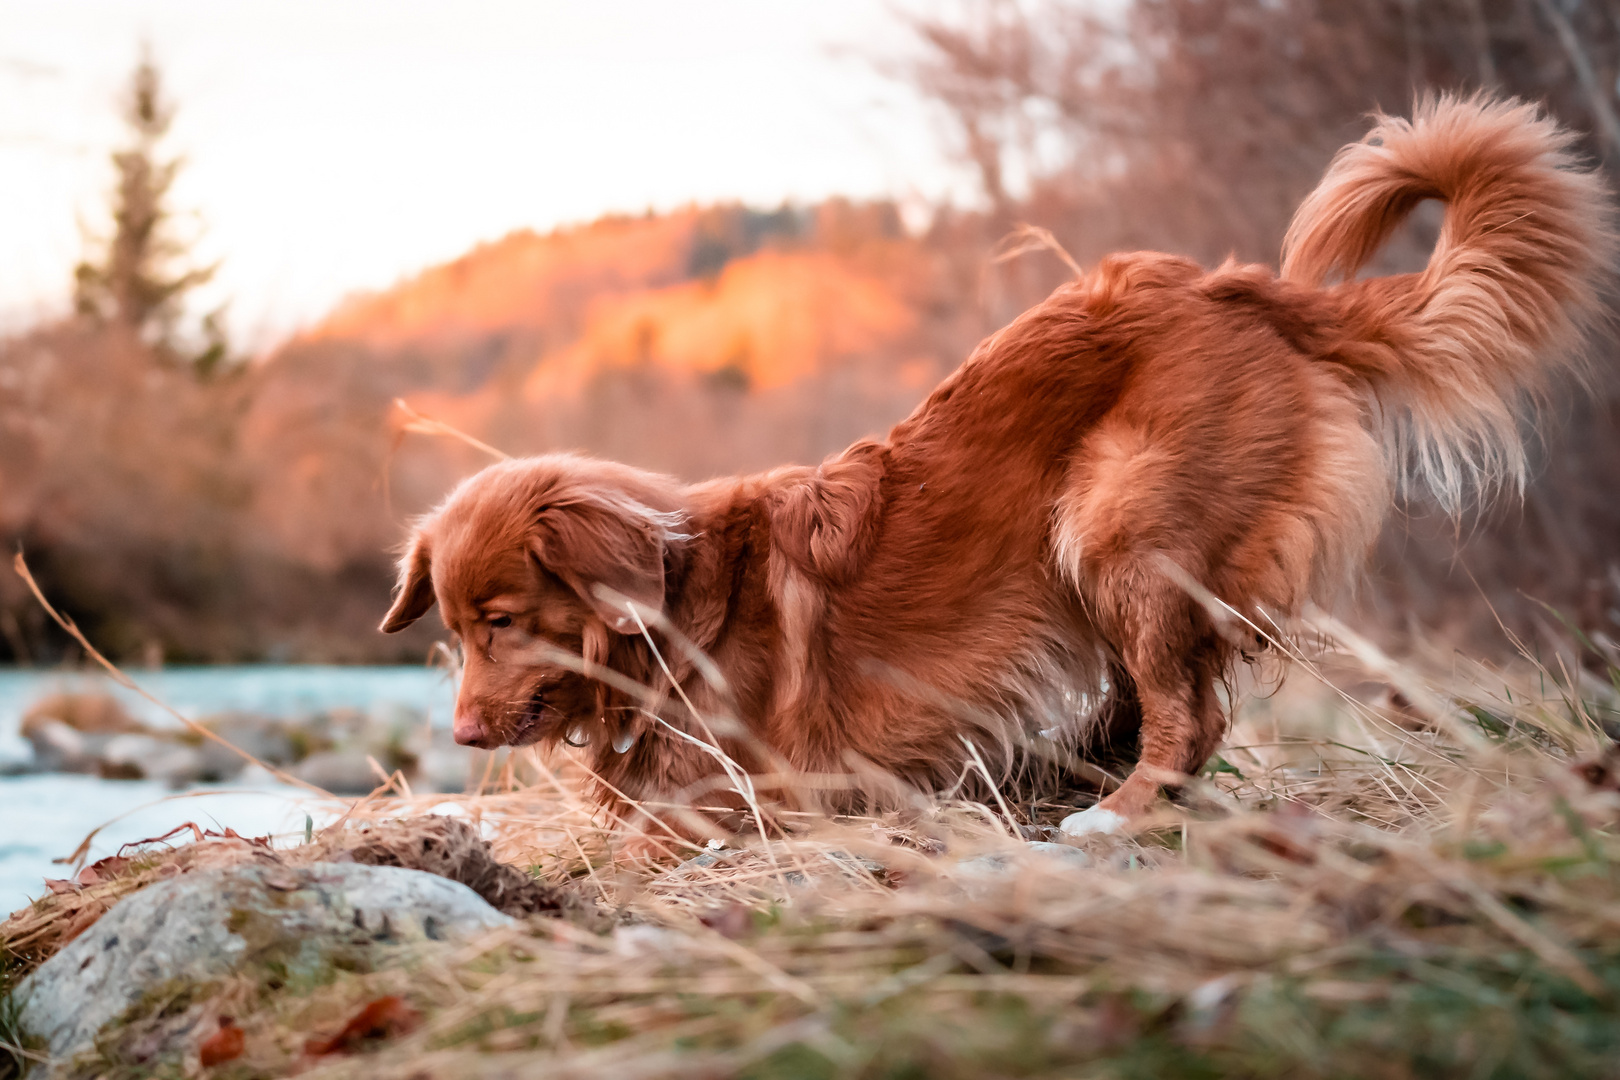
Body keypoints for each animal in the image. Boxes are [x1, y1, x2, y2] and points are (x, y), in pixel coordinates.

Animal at [375, 99, 1607, 835]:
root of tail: (1242, 288)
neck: (678, 615)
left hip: (1114, 524)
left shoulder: (751, 797)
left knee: (1187, 714)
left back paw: (1117, 808)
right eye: (451, 631)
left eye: (500, 622)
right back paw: (1073, 768)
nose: (464, 736)